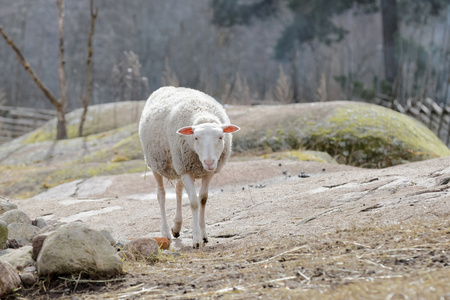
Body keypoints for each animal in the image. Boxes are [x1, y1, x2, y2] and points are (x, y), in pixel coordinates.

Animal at [140, 86, 239, 248]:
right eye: (196, 137)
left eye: (220, 137)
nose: (209, 162)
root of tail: (166, 87)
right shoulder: (186, 170)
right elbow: (193, 202)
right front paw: (197, 238)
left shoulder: (206, 173)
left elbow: (203, 199)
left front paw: (203, 234)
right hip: (156, 163)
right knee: (161, 195)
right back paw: (165, 232)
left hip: (178, 166)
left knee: (178, 190)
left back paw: (177, 226)